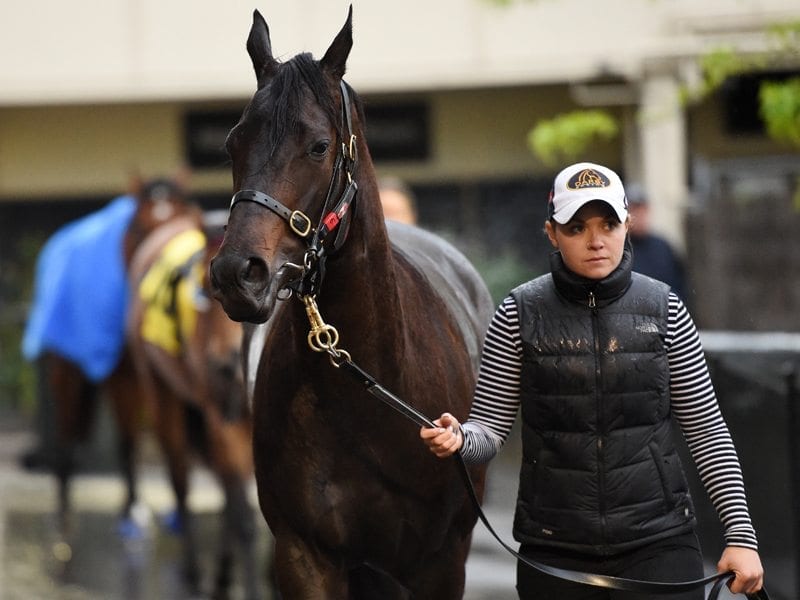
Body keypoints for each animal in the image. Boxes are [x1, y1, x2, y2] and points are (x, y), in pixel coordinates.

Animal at [126, 210, 260, 596]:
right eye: (206, 290)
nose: (225, 364)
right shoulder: (221, 419)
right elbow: (245, 517)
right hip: (162, 395)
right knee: (181, 482)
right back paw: (194, 572)